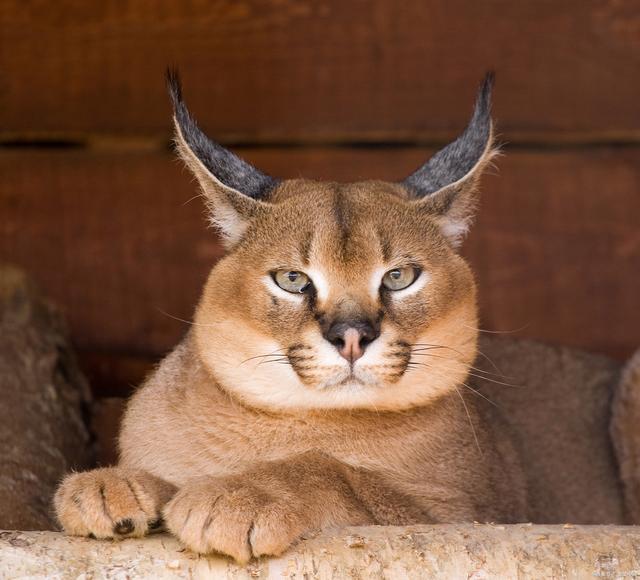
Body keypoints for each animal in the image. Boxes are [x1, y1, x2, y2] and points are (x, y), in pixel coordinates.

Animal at [53, 71, 636, 560]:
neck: (285, 420)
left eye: (399, 277)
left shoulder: (469, 517)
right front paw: (112, 485)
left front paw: (238, 495)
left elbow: (339, 472)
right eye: (292, 280)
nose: (352, 337)